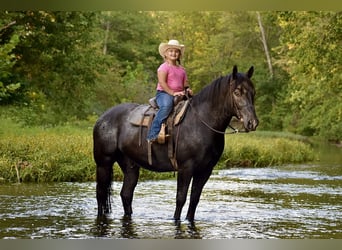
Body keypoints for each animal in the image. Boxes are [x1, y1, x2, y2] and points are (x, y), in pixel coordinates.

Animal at [92, 65, 258, 222]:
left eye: (253, 92)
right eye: (237, 92)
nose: (252, 123)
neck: (201, 122)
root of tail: (102, 118)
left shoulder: (205, 170)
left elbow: (194, 200)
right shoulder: (186, 168)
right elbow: (181, 199)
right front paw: (176, 220)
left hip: (130, 165)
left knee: (126, 194)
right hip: (103, 163)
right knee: (100, 193)